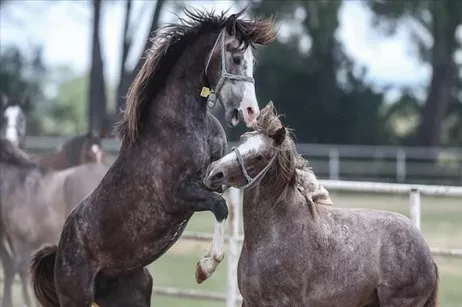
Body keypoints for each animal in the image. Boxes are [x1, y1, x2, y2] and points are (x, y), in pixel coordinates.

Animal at [30, 7, 276, 307]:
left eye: (251, 60)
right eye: (237, 58)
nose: (251, 111)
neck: (180, 122)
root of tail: (59, 250)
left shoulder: (214, 176)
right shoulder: (177, 195)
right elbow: (220, 207)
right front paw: (204, 268)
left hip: (133, 293)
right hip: (76, 297)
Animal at [204, 103, 438, 307]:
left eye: (260, 156)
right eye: (243, 141)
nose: (214, 172)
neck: (276, 233)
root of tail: (428, 255)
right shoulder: (250, 302)